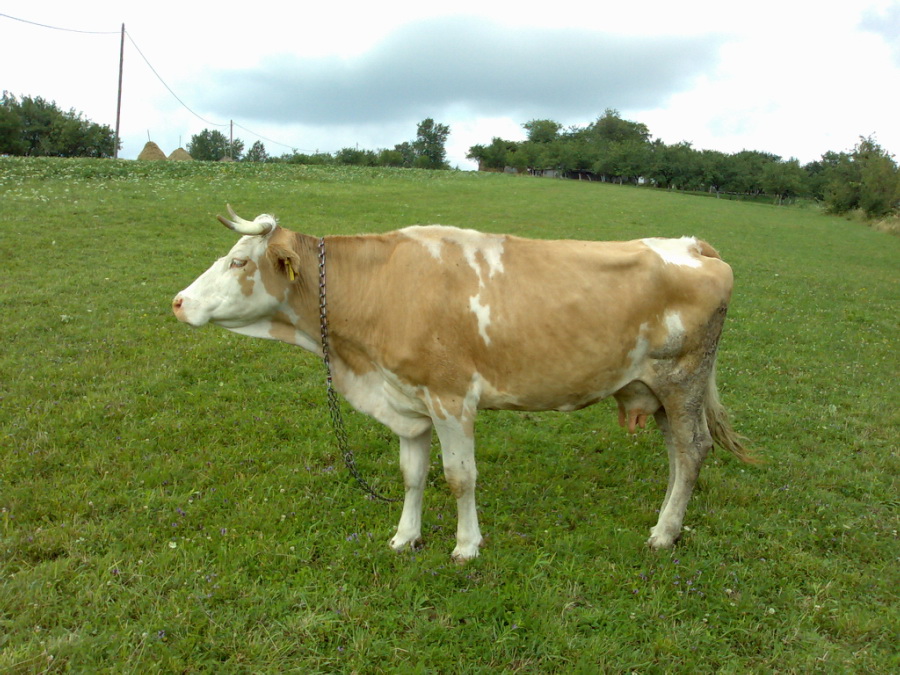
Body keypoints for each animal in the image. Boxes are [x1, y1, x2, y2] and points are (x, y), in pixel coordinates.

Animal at [173, 206, 752, 561]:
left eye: (239, 261)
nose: (178, 301)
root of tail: (692, 245)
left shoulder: (452, 398)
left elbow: (459, 478)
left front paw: (466, 546)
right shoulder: (408, 403)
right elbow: (412, 475)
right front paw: (405, 537)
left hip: (682, 380)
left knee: (692, 451)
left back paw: (664, 533)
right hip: (659, 390)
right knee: (679, 455)